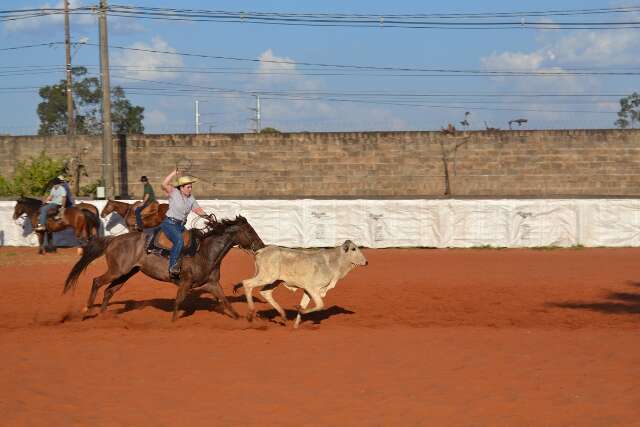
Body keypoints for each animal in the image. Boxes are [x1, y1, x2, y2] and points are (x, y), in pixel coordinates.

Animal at [63, 217, 264, 320]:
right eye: (249, 231)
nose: (261, 245)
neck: (206, 252)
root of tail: (113, 239)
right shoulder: (185, 282)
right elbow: (178, 301)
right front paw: (173, 323)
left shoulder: (212, 284)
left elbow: (226, 302)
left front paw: (243, 321)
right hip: (117, 271)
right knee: (97, 281)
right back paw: (87, 310)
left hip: (127, 273)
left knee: (109, 290)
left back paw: (103, 316)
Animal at [235, 241, 368, 328]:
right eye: (353, 249)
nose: (366, 262)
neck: (333, 262)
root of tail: (261, 251)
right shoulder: (313, 288)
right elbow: (320, 305)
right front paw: (300, 311)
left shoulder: (307, 291)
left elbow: (304, 305)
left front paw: (296, 324)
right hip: (267, 277)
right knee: (247, 284)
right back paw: (251, 314)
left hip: (274, 281)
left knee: (265, 292)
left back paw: (283, 315)